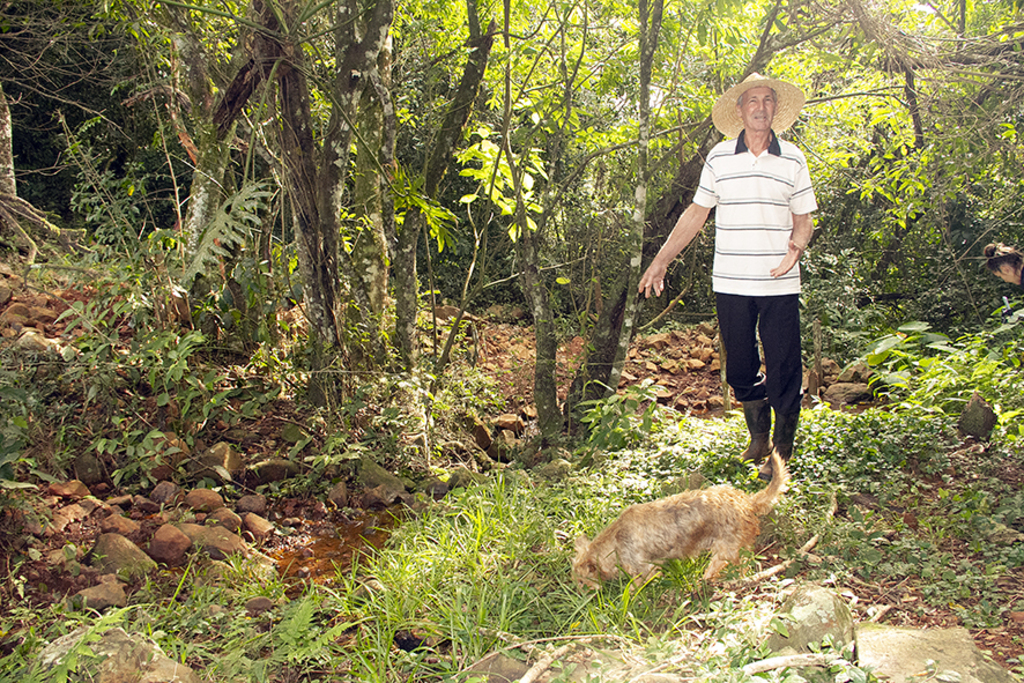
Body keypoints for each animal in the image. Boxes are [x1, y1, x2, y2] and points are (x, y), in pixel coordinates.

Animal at [573, 448, 786, 589]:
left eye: (582, 582)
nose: (578, 594)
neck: (616, 540)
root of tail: (747, 501)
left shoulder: (643, 568)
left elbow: (635, 587)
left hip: (728, 549)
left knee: (740, 566)